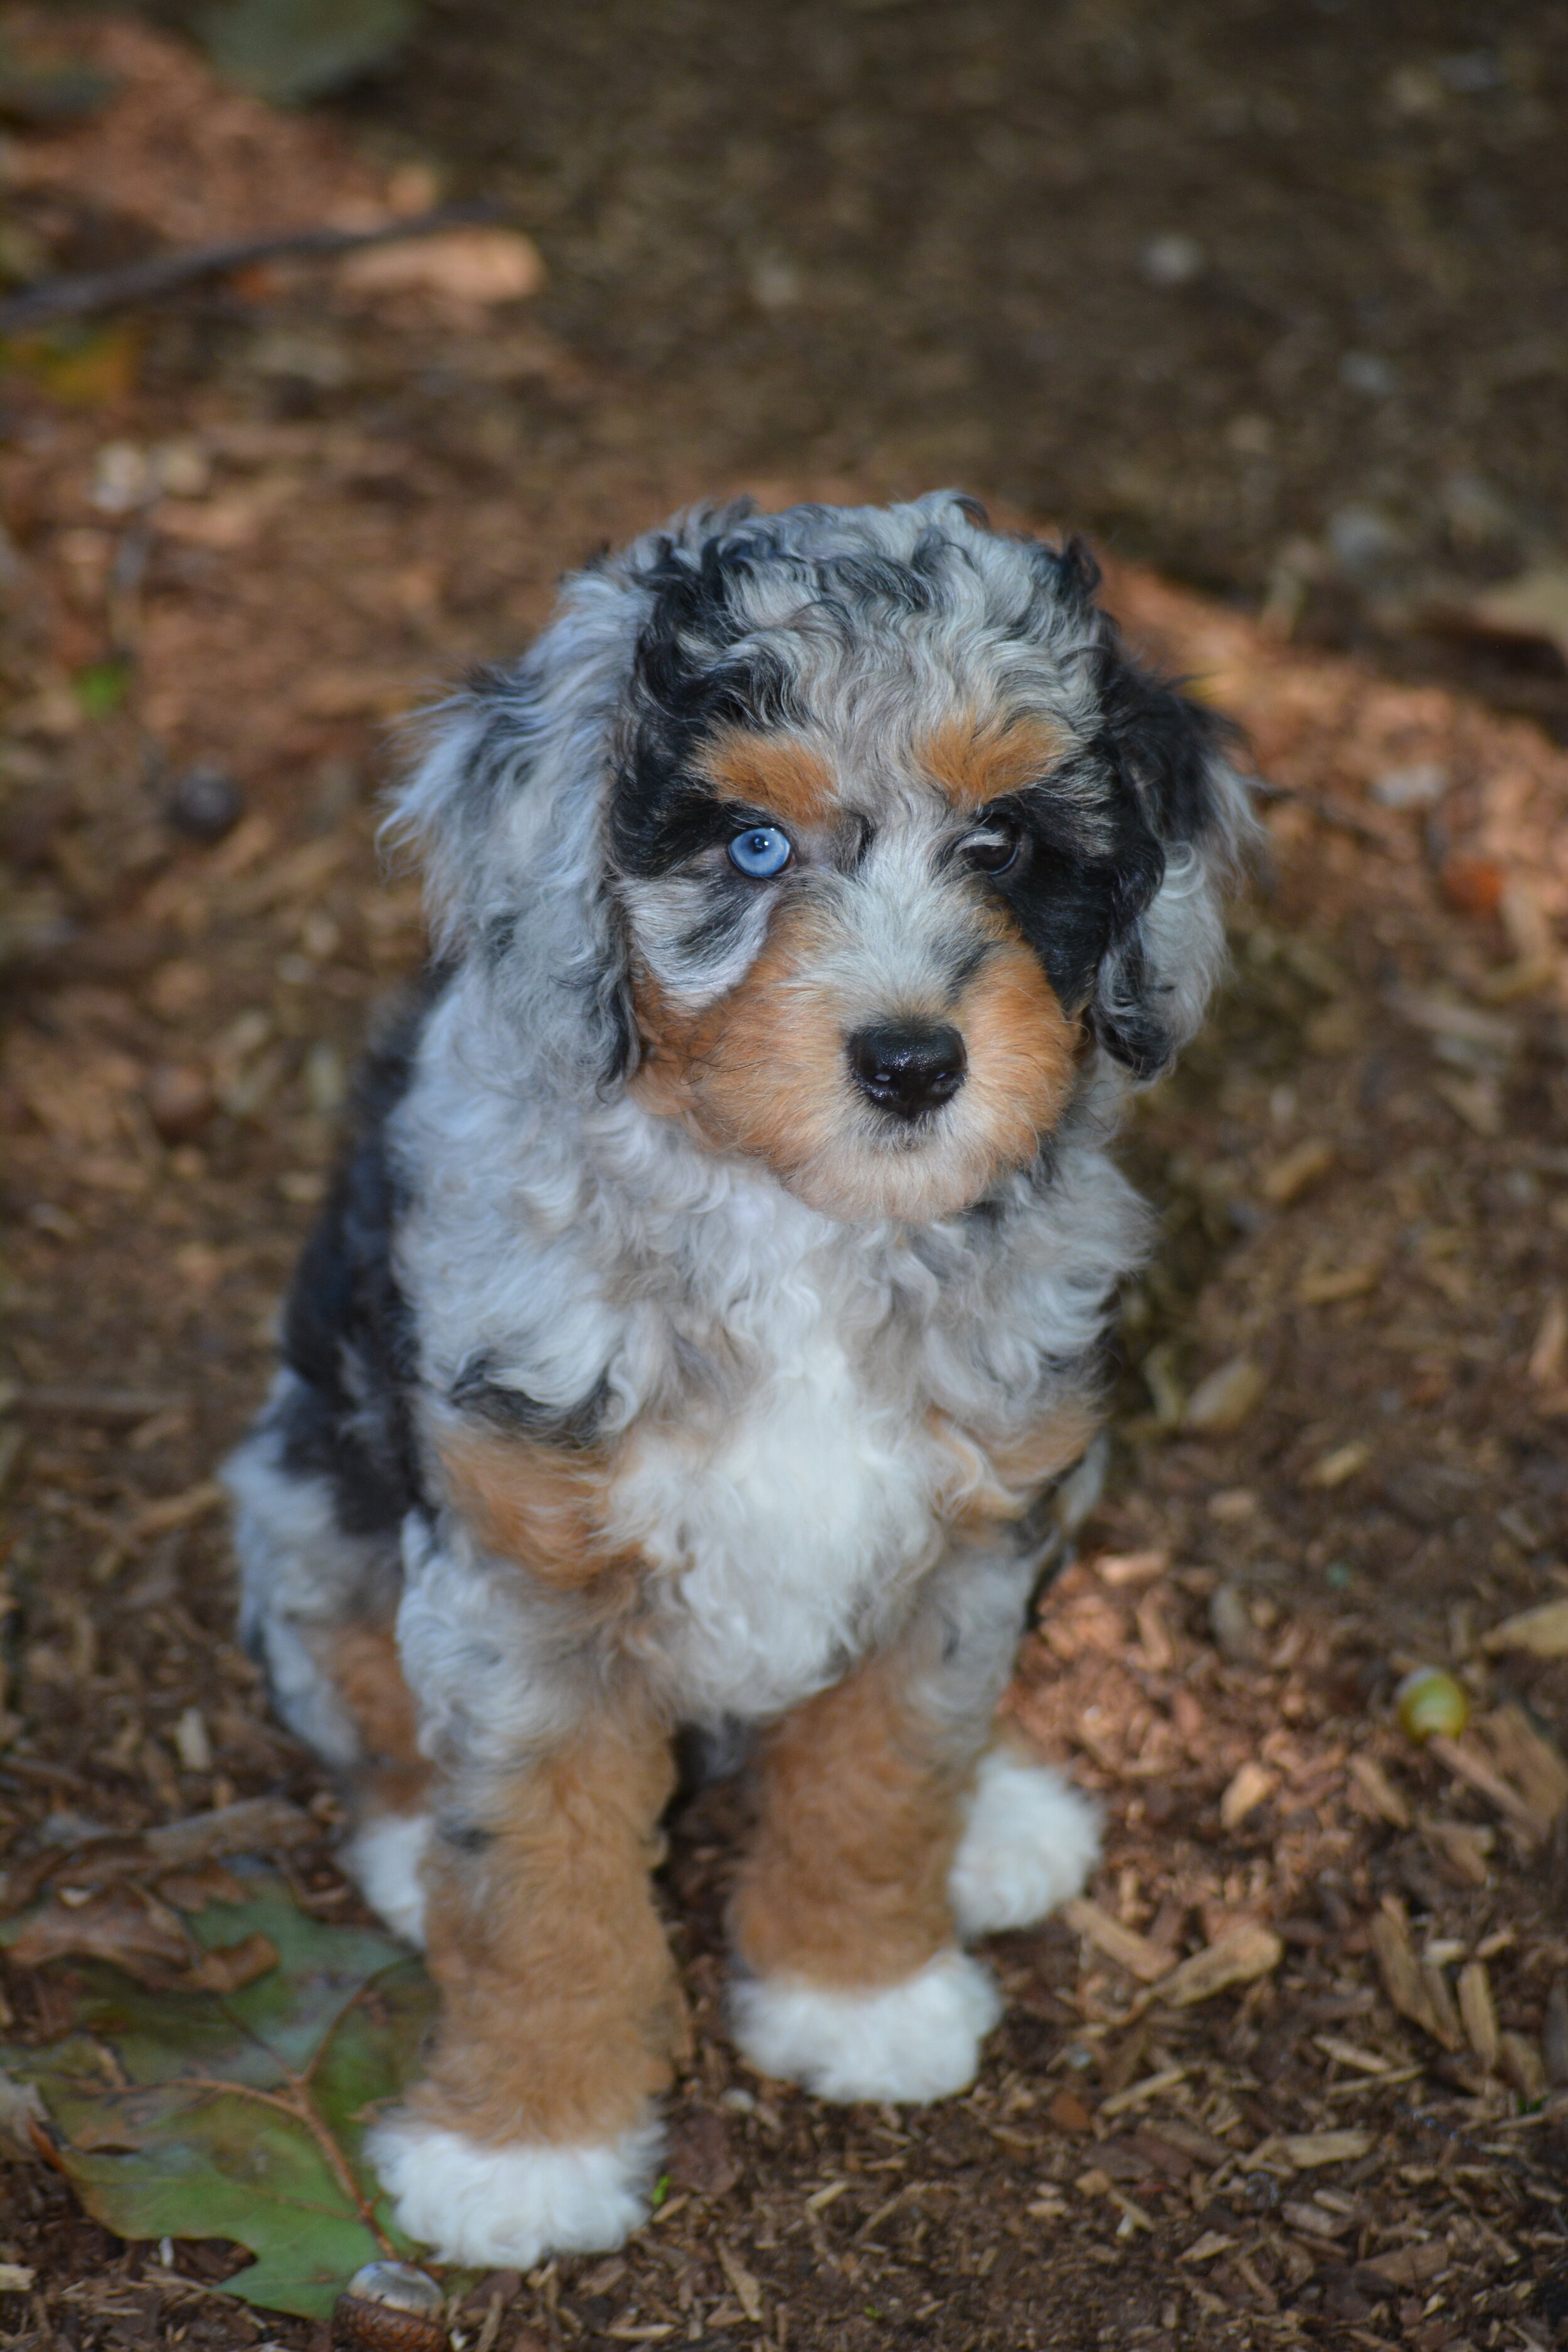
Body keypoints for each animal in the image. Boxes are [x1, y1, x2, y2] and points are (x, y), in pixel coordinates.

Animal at [223, 487, 1251, 2267]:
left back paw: (1003, 1822)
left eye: (1003, 842)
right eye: (752, 847)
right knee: (366, 1707)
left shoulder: (963, 1539)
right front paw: (523, 2149)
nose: (911, 1064)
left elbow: (883, 1775)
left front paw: (860, 1993)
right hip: (300, 1490)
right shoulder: (525, 1583)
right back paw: (409, 1848)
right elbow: (539, 1876)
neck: (800, 1227)